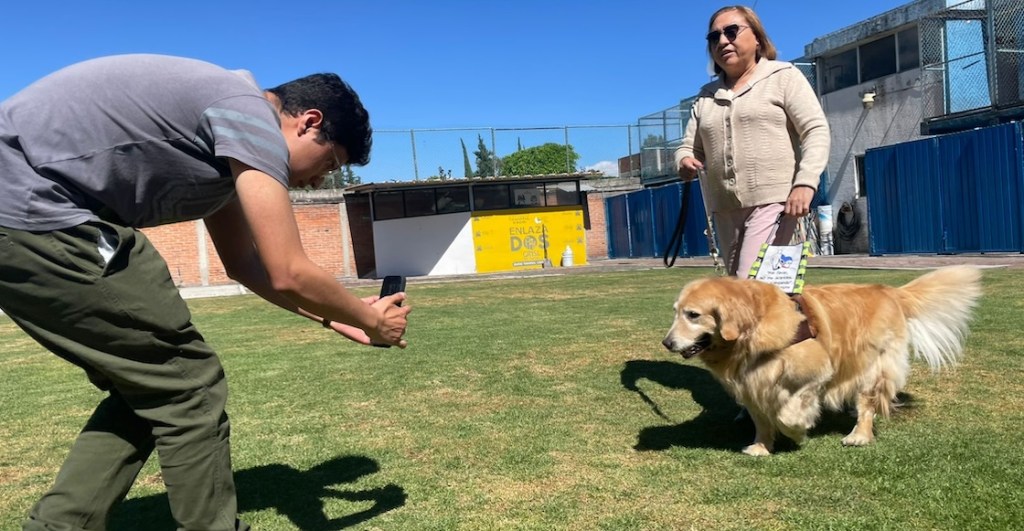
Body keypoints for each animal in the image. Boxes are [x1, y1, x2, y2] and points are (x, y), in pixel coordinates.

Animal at [659, 268, 978, 454]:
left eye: (692, 315)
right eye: (675, 312)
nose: (667, 343)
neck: (754, 329)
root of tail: (888, 290)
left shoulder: (815, 375)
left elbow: (786, 415)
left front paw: (798, 433)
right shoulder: (752, 385)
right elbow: (761, 420)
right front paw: (761, 447)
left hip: (872, 368)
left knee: (868, 404)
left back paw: (859, 434)